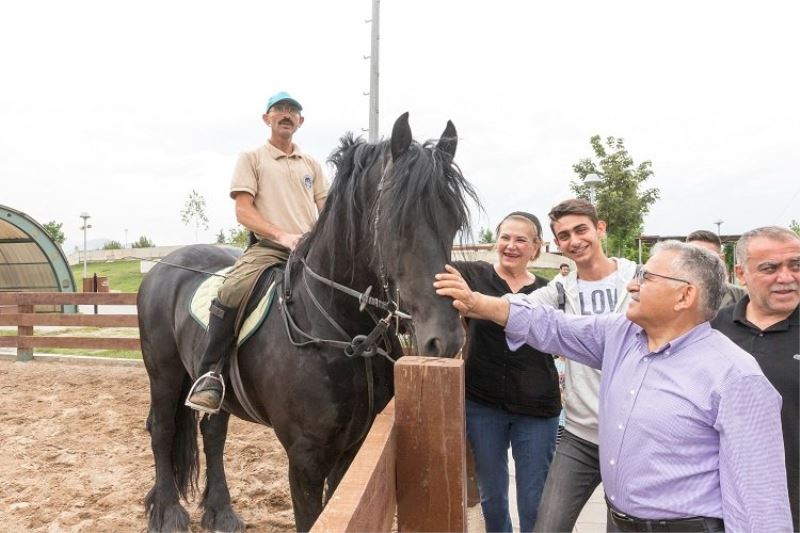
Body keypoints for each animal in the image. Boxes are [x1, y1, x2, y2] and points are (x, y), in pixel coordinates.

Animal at [137, 112, 478, 528]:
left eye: (453, 220)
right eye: (396, 221)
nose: (445, 340)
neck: (345, 333)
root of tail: (163, 267)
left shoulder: (355, 449)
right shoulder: (306, 458)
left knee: (213, 432)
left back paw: (221, 512)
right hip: (164, 373)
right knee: (162, 430)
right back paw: (168, 513)